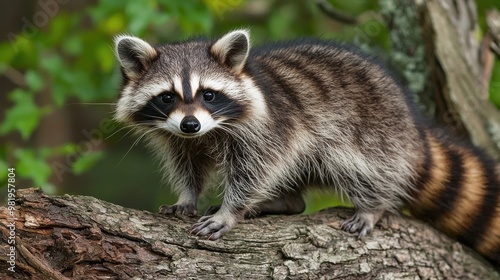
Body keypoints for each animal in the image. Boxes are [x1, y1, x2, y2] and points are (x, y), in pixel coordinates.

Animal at [113, 29, 500, 266]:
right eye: (167, 97)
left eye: (208, 94)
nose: (190, 124)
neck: (208, 131)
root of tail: (412, 121)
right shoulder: (178, 137)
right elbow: (187, 165)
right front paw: (187, 197)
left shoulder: (267, 128)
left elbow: (258, 167)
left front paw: (231, 210)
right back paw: (285, 201)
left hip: (377, 132)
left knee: (365, 167)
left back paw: (372, 205)